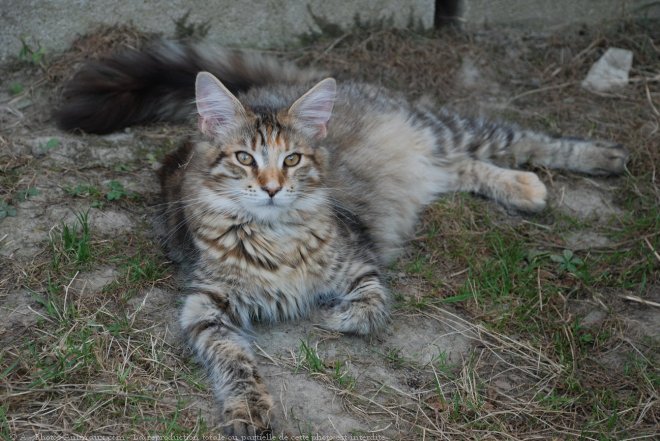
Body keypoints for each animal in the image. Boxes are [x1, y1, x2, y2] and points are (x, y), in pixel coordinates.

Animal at [56, 40, 628, 434]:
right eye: (244, 158)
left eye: (291, 160)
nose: (271, 188)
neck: (275, 237)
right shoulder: (204, 305)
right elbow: (235, 362)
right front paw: (249, 408)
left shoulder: (361, 263)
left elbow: (369, 309)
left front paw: (334, 317)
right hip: (434, 156)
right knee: (461, 168)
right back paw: (526, 188)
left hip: (445, 129)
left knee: (521, 139)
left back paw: (597, 158)